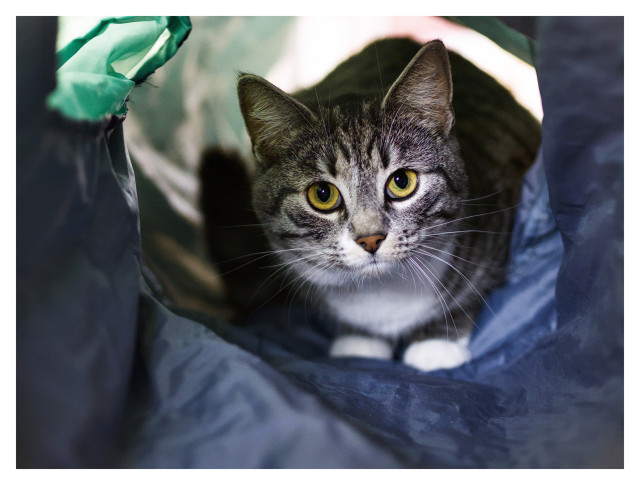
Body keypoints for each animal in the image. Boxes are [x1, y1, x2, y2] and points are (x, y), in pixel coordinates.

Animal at [200, 37, 540, 370]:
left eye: (401, 181)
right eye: (322, 194)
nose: (371, 238)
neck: (381, 294)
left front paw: (435, 343)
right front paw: (358, 340)